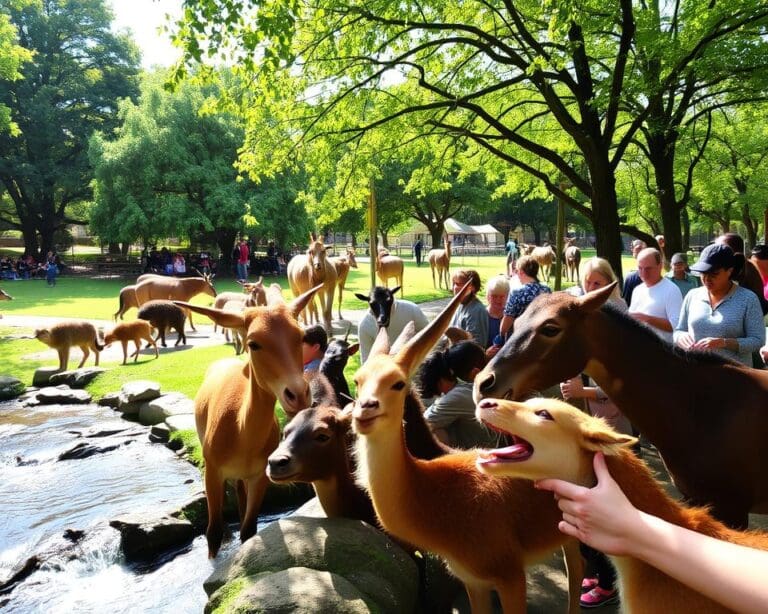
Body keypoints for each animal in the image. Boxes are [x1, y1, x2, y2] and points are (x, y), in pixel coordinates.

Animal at [172, 284, 320, 560]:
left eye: (301, 336)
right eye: (254, 343)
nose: (297, 394)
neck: (241, 433)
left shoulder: (260, 474)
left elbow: (249, 529)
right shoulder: (213, 470)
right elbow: (213, 532)